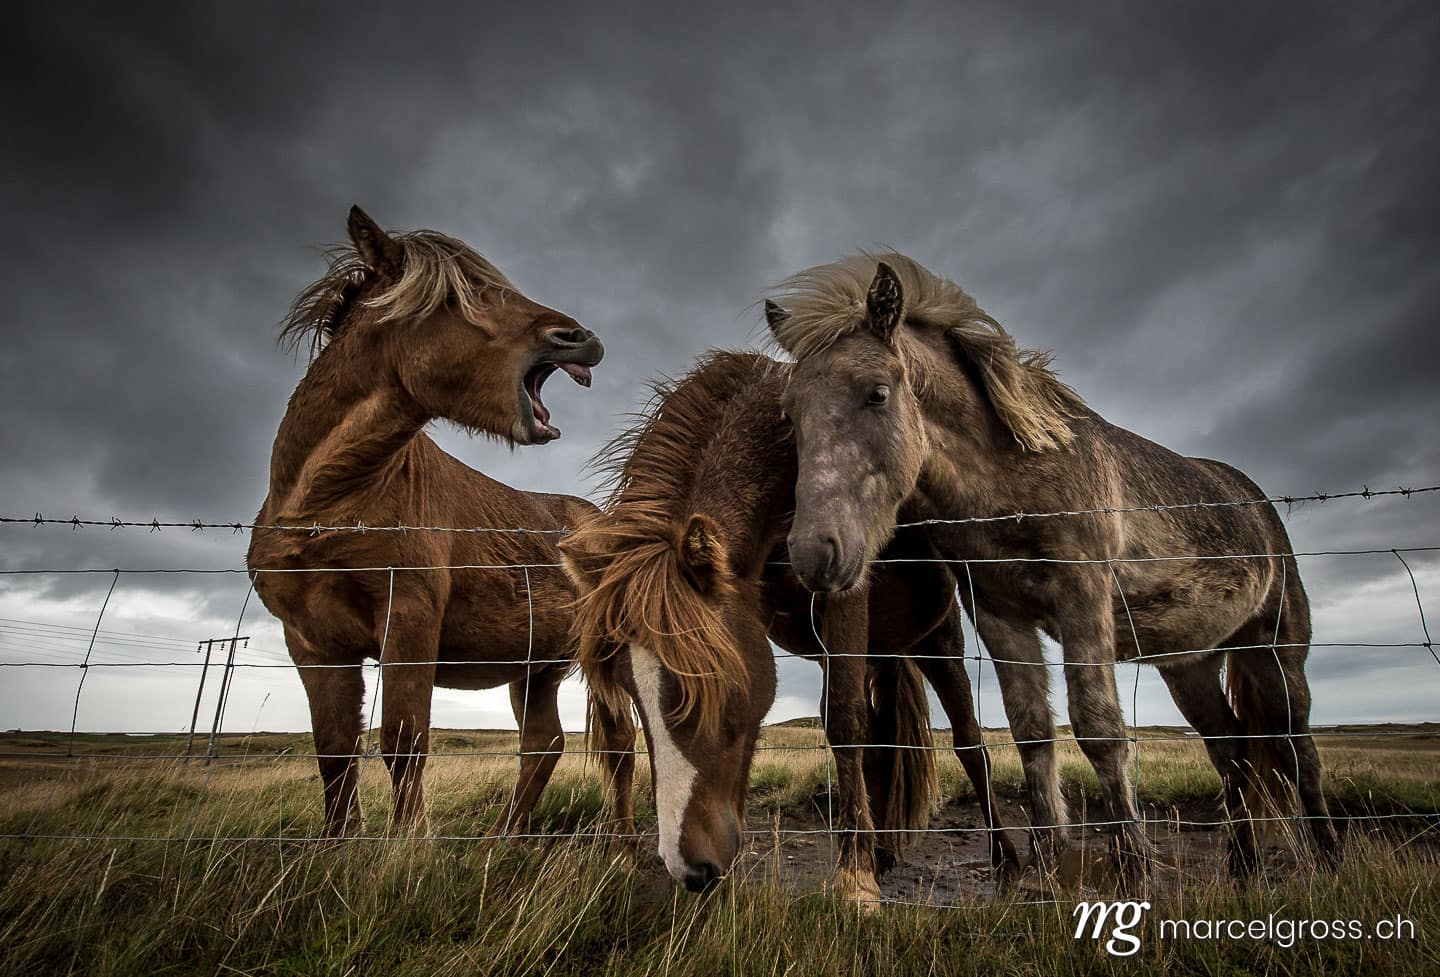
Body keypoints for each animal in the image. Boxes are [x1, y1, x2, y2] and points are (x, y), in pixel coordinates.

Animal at [246, 206, 634, 838]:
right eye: (459, 297)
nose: (581, 338)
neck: (324, 507)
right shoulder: (313, 643)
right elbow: (335, 753)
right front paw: (335, 849)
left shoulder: (408, 618)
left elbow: (403, 743)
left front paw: (406, 850)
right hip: (538, 670)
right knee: (545, 744)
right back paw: (506, 839)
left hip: (613, 655)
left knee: (626, 741)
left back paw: (625, 843)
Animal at [559, 350, 1020, 905]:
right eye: (631, 691)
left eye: (711, 683)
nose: (689, 868)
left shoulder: (845, 593)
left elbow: (843, 723)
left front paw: (855, 882)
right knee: (883, 740)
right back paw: (883, 852)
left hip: (938, 642)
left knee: (969, 743)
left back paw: (1006, 862)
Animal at [764, 253, 1340, 882]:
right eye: (789, 414)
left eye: (877, 394)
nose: (814, 554)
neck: (1013, 482)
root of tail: (1256, 501)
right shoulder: (999, 616)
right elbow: (1031, 731)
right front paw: (1041, 867)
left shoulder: (1081, 598)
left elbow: (1098, 728)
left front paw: (1132, 867)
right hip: (1188, 664)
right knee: (1231, 748)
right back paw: (1242, 866)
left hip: (1275, 650)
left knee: (1297, 747)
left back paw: (1331, 859)